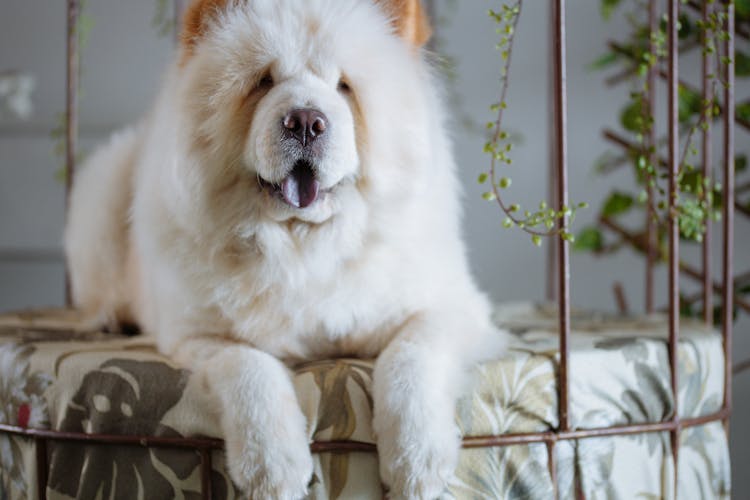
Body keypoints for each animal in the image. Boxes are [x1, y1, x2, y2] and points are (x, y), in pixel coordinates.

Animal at [64, 1, 508, 498]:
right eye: (263, 82)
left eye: (344, 86)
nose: (306, 122)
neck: (302, 243)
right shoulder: (196, 335)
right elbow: (248, 365)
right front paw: (271, 468)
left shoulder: (451, 309)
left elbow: (411, 355)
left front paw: (417, 464)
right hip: (103, 189)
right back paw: (110, 318)